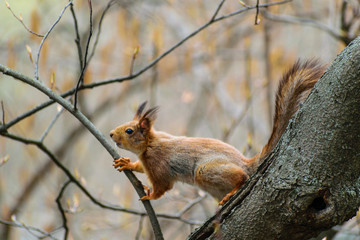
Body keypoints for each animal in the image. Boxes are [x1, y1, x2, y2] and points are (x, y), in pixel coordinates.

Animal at [109, 59, 326, 204]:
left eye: (129, 131)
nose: (111, 134)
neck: (149, 144)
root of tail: (246, 163)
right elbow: (139, 166)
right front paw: (127, 163)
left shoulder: (158, 164)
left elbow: (162, 187)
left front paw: (149, 195)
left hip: (205, 171)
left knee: (242, 176)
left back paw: (235, 189)